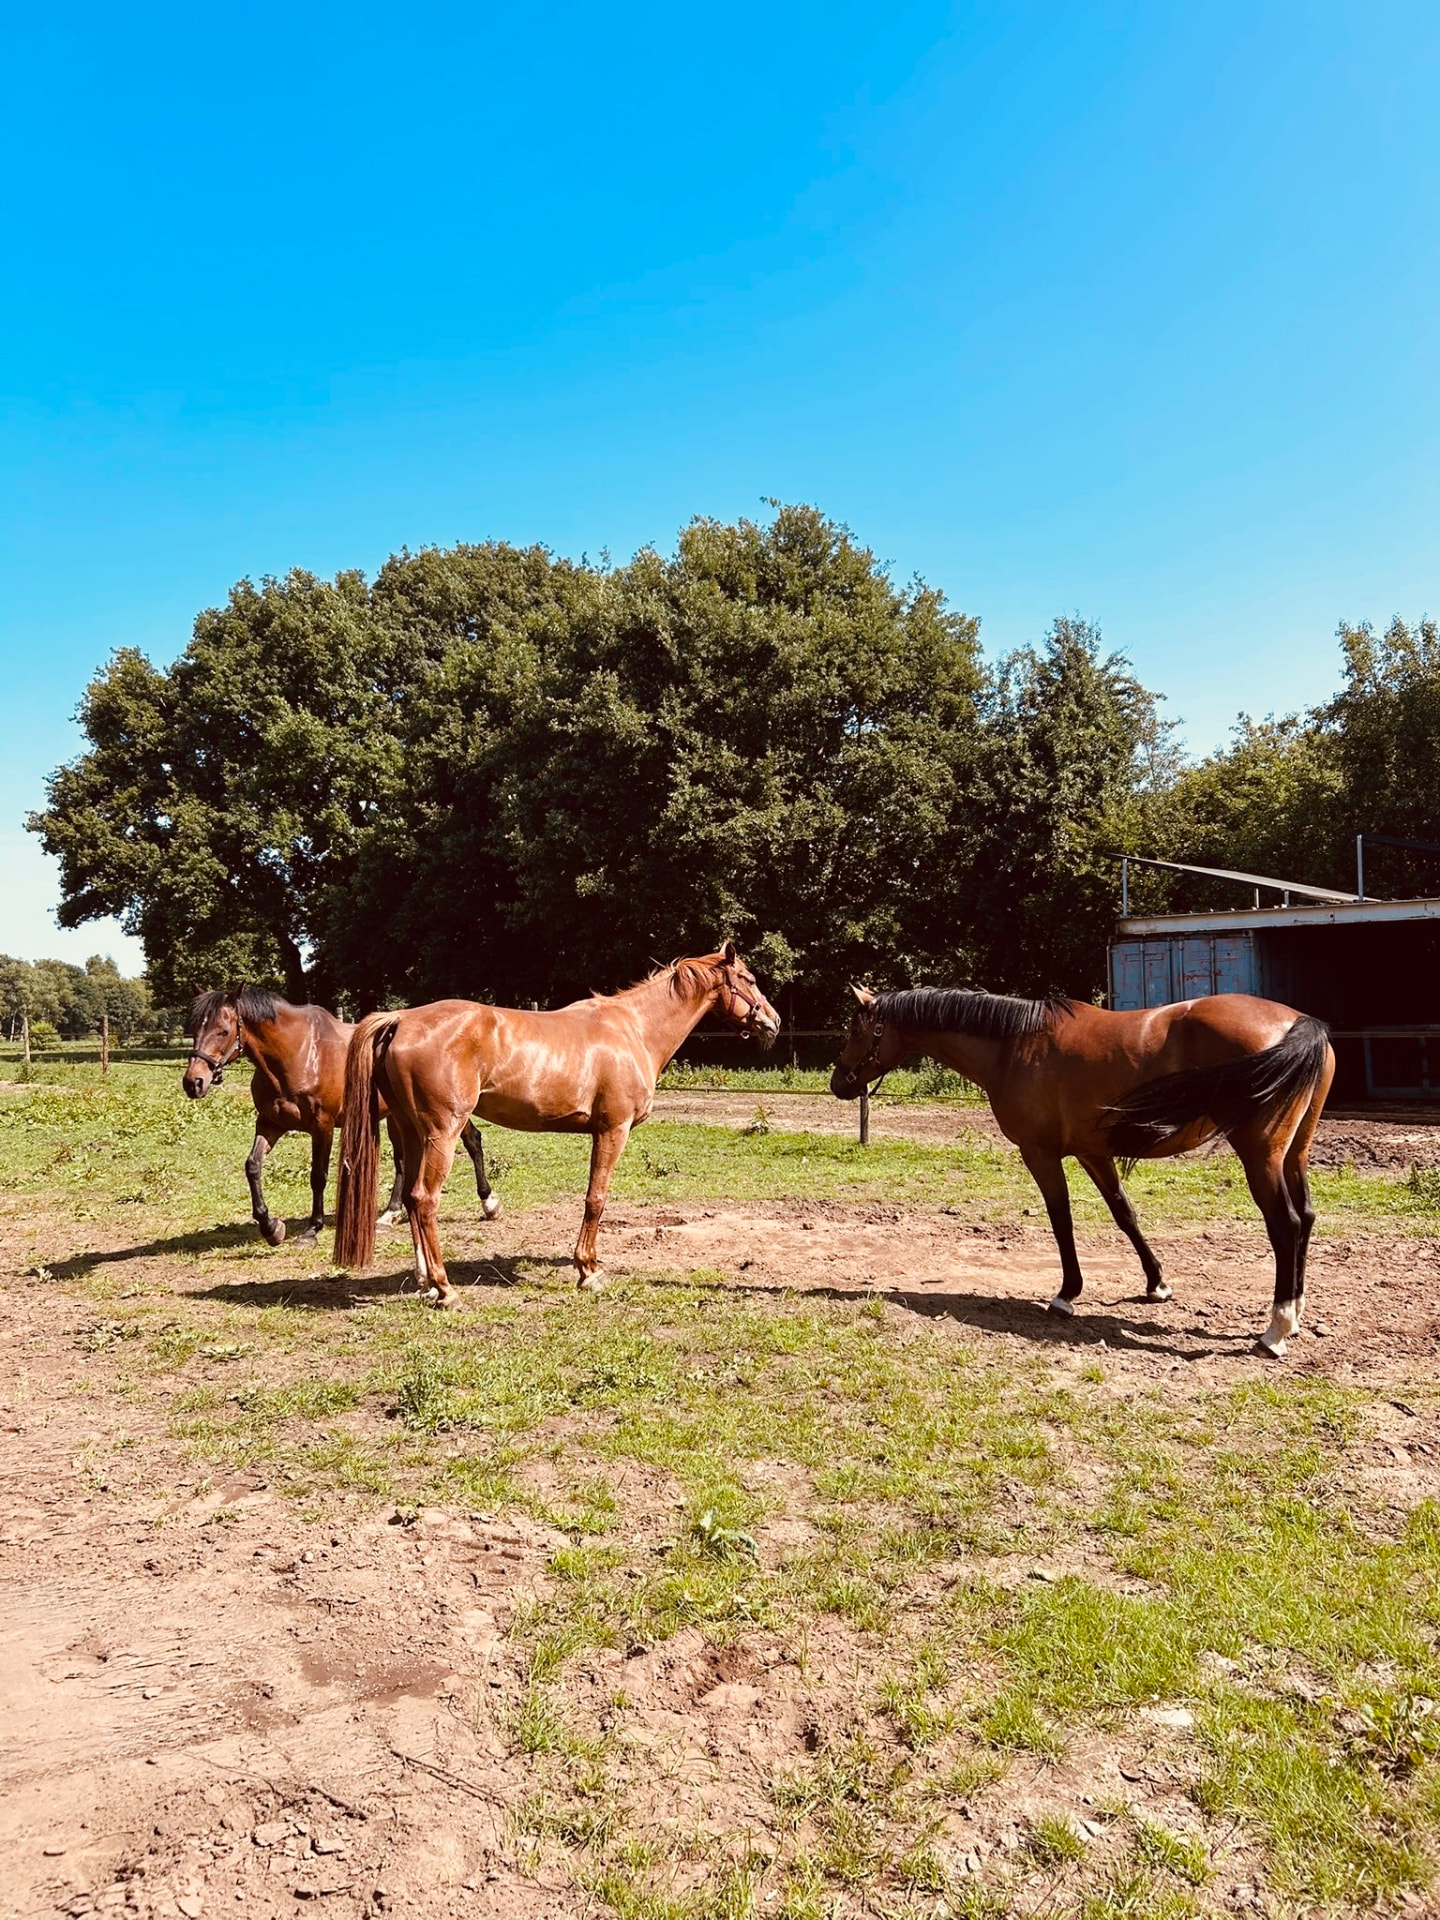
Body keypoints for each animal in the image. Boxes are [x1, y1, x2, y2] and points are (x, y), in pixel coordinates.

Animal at [182, 989, 498, 1246]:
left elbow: (318, 1176)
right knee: (402, 1161)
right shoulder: (270, 1124)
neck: (298, 1054)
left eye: (223, 1031)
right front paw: (271, 1227)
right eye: (193, 1028)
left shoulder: (322, 1127)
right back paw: (390, 1213)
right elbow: (252, 1166)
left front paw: (312, 1230)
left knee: (472, 1141)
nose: (193, 1082)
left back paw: (488, 1202)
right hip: (398, 1118)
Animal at [333, 944, 781, 1303]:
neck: (633, 1029)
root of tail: (401, 1020)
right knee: (425, 1200)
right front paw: (589, 1270)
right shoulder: (612, 1131)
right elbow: (596, 1199)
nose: (773, 1022)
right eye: (750, 979)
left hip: (410, 1132)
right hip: (442, 1132)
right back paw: (445, 1289)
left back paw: (425, 1281)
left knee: (410, 1198)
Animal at [829, 985, 1334, 1358]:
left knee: (1286, 1224)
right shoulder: (1094, 1153)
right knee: (1307, 1216)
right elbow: (1124, 1214)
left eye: (855, 1029)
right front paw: (1156, 1284)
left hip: (1261, 1157)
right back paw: (1296, 1311)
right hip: (1295, 1153)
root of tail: (1300, 1023)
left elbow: (1061, 1220)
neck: (1014, 1045)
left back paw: (1275, 1330)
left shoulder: (1040, 1154)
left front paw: (1066, 1294)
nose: (837, 1082)